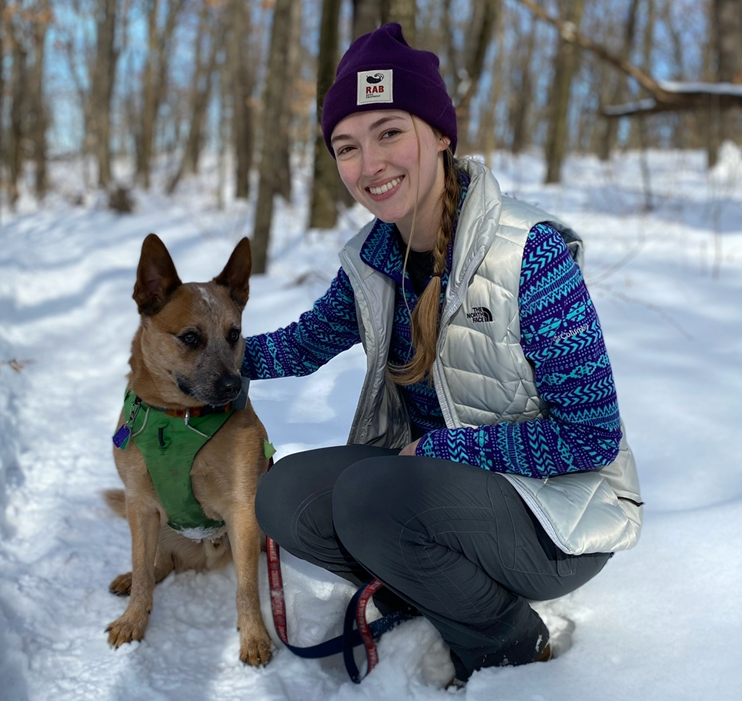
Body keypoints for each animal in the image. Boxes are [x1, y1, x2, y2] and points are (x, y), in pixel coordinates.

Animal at [104, 232, 274, 664]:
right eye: (190, 337)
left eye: (234, 334)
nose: (233, 385)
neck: (178, 419)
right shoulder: (140, 504)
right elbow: (142, 569)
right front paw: (133, 621)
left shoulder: (242, 509)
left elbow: (247, 588)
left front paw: (254, 636)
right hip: (157, 524)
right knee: (156, 565)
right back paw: (130, 580)